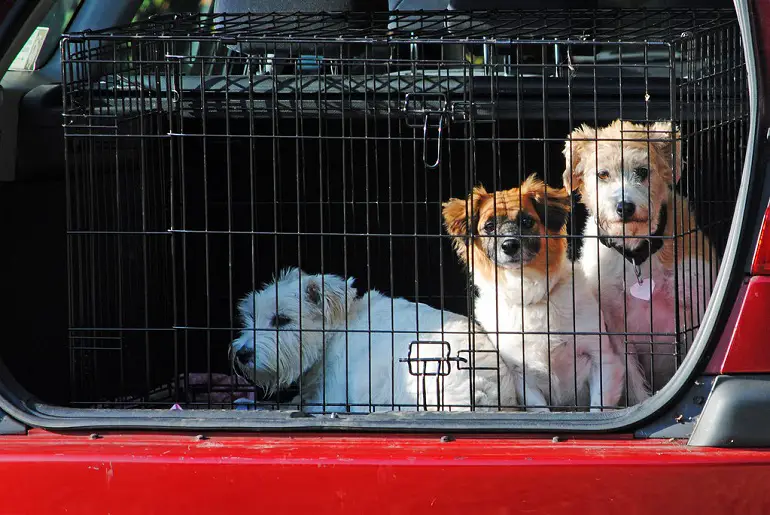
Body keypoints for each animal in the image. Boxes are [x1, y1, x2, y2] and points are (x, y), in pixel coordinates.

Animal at [440, 175, 640, 414]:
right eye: (489, 226)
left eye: (527, 222)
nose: (509, 245)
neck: (530, 294)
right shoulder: (521, 375)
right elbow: (540, 408)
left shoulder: (603, 360)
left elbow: (598, 406)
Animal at [560, 120, 716, 396]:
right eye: (602, 174)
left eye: (643, 171)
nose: (625, 207)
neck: (637, 254)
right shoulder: (615, 325)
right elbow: (634, 381)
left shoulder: (696, 303)